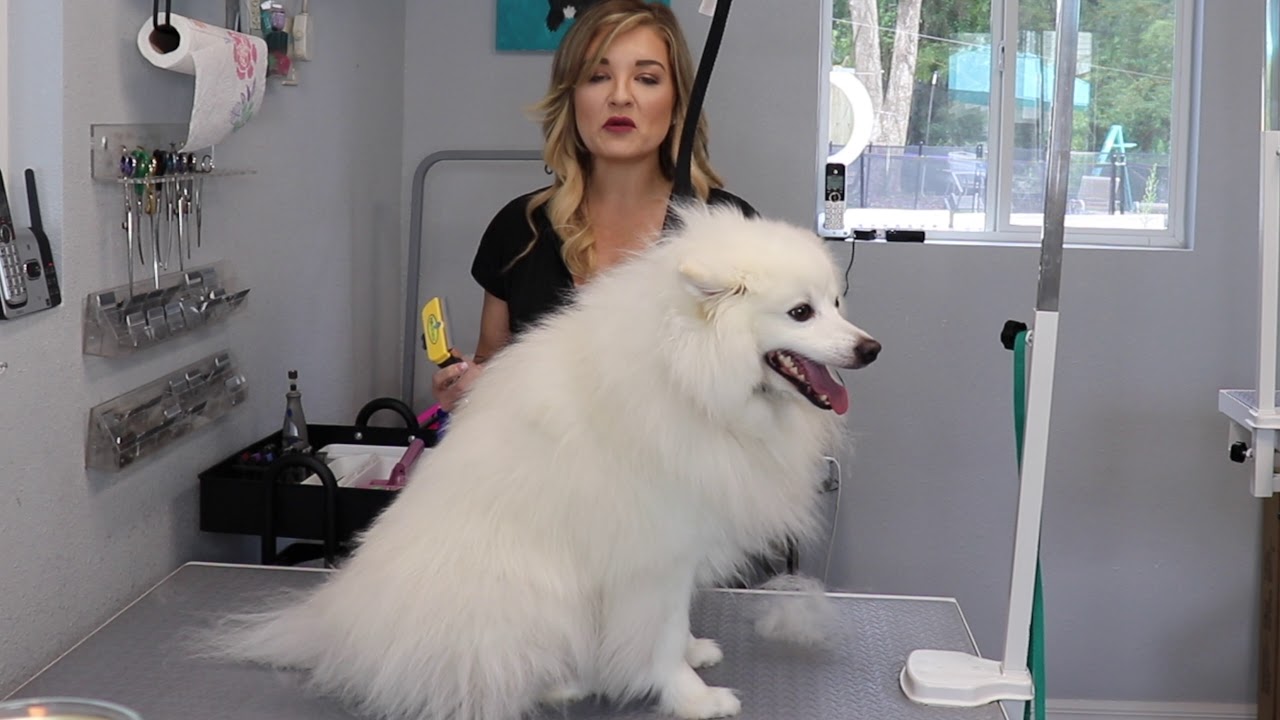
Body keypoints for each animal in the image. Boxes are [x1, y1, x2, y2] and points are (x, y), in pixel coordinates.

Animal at [202, 202, 880, 717]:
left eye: (837, 303)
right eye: (801, 312)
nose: (870, 348)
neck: (685, 375)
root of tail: (337, 633)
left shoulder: (679, 548)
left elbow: (674, 624)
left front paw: (691, 652)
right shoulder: (651, 555)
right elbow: (656, 638)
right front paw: (692, 697)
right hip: (533, 594)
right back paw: (561, 683)